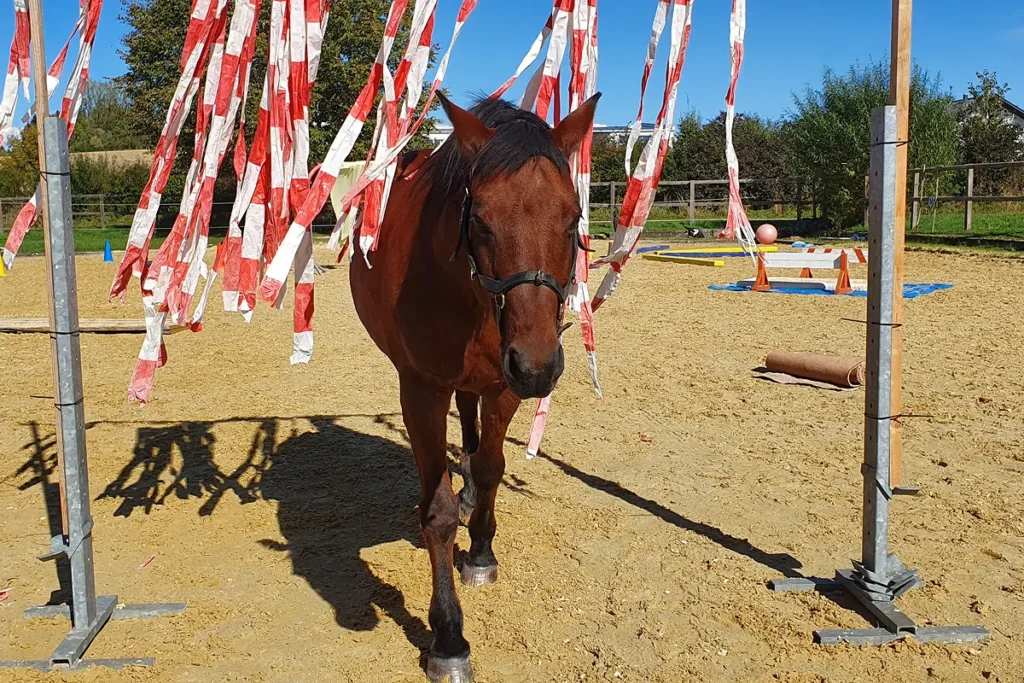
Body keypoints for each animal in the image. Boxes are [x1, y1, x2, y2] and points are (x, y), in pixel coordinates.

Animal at [349, 92, 601, 681]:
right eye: (480, 220)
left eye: (573, 218)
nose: (538, 368)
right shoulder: (421, 391)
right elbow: (437, 513)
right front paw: (448, 637)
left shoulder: (502, 385)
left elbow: (490, 468)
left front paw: (482, 551)